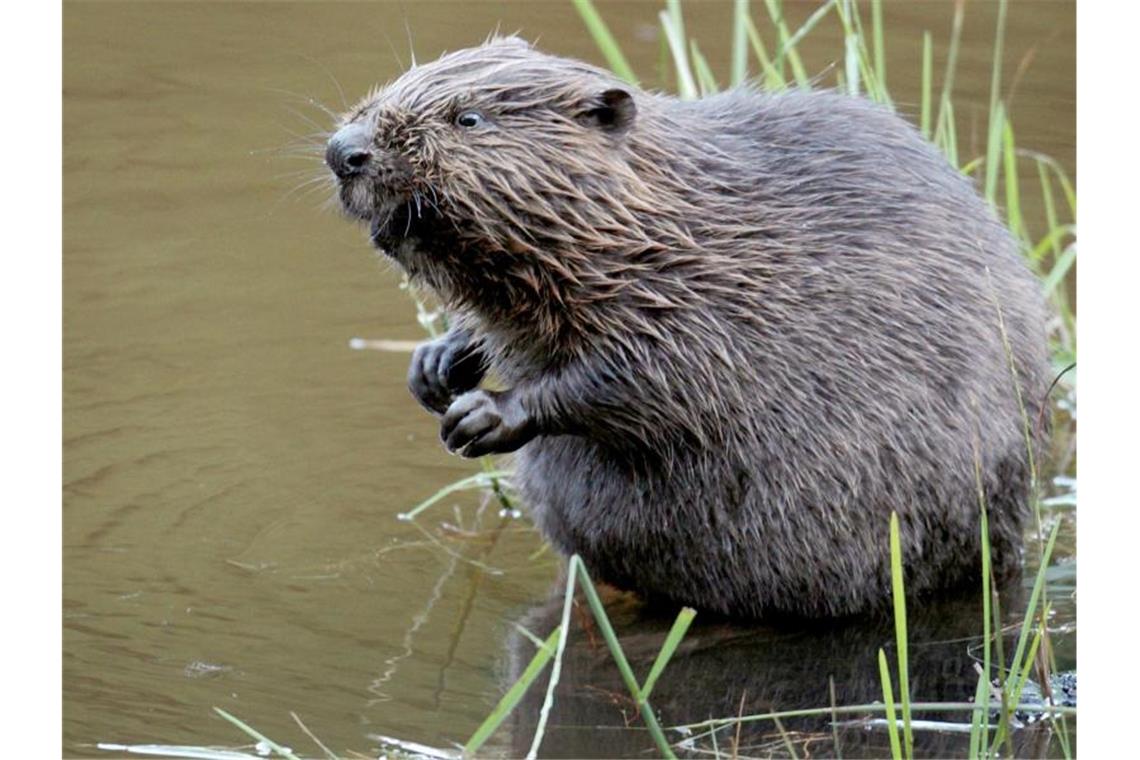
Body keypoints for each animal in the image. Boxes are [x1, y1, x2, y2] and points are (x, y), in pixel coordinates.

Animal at [323, 37, 1048, 619]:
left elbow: (652, 380)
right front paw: (435, 366)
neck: (659, 218)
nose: (343, 151)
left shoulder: (702, 300)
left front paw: (482, 416)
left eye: (468, 118)